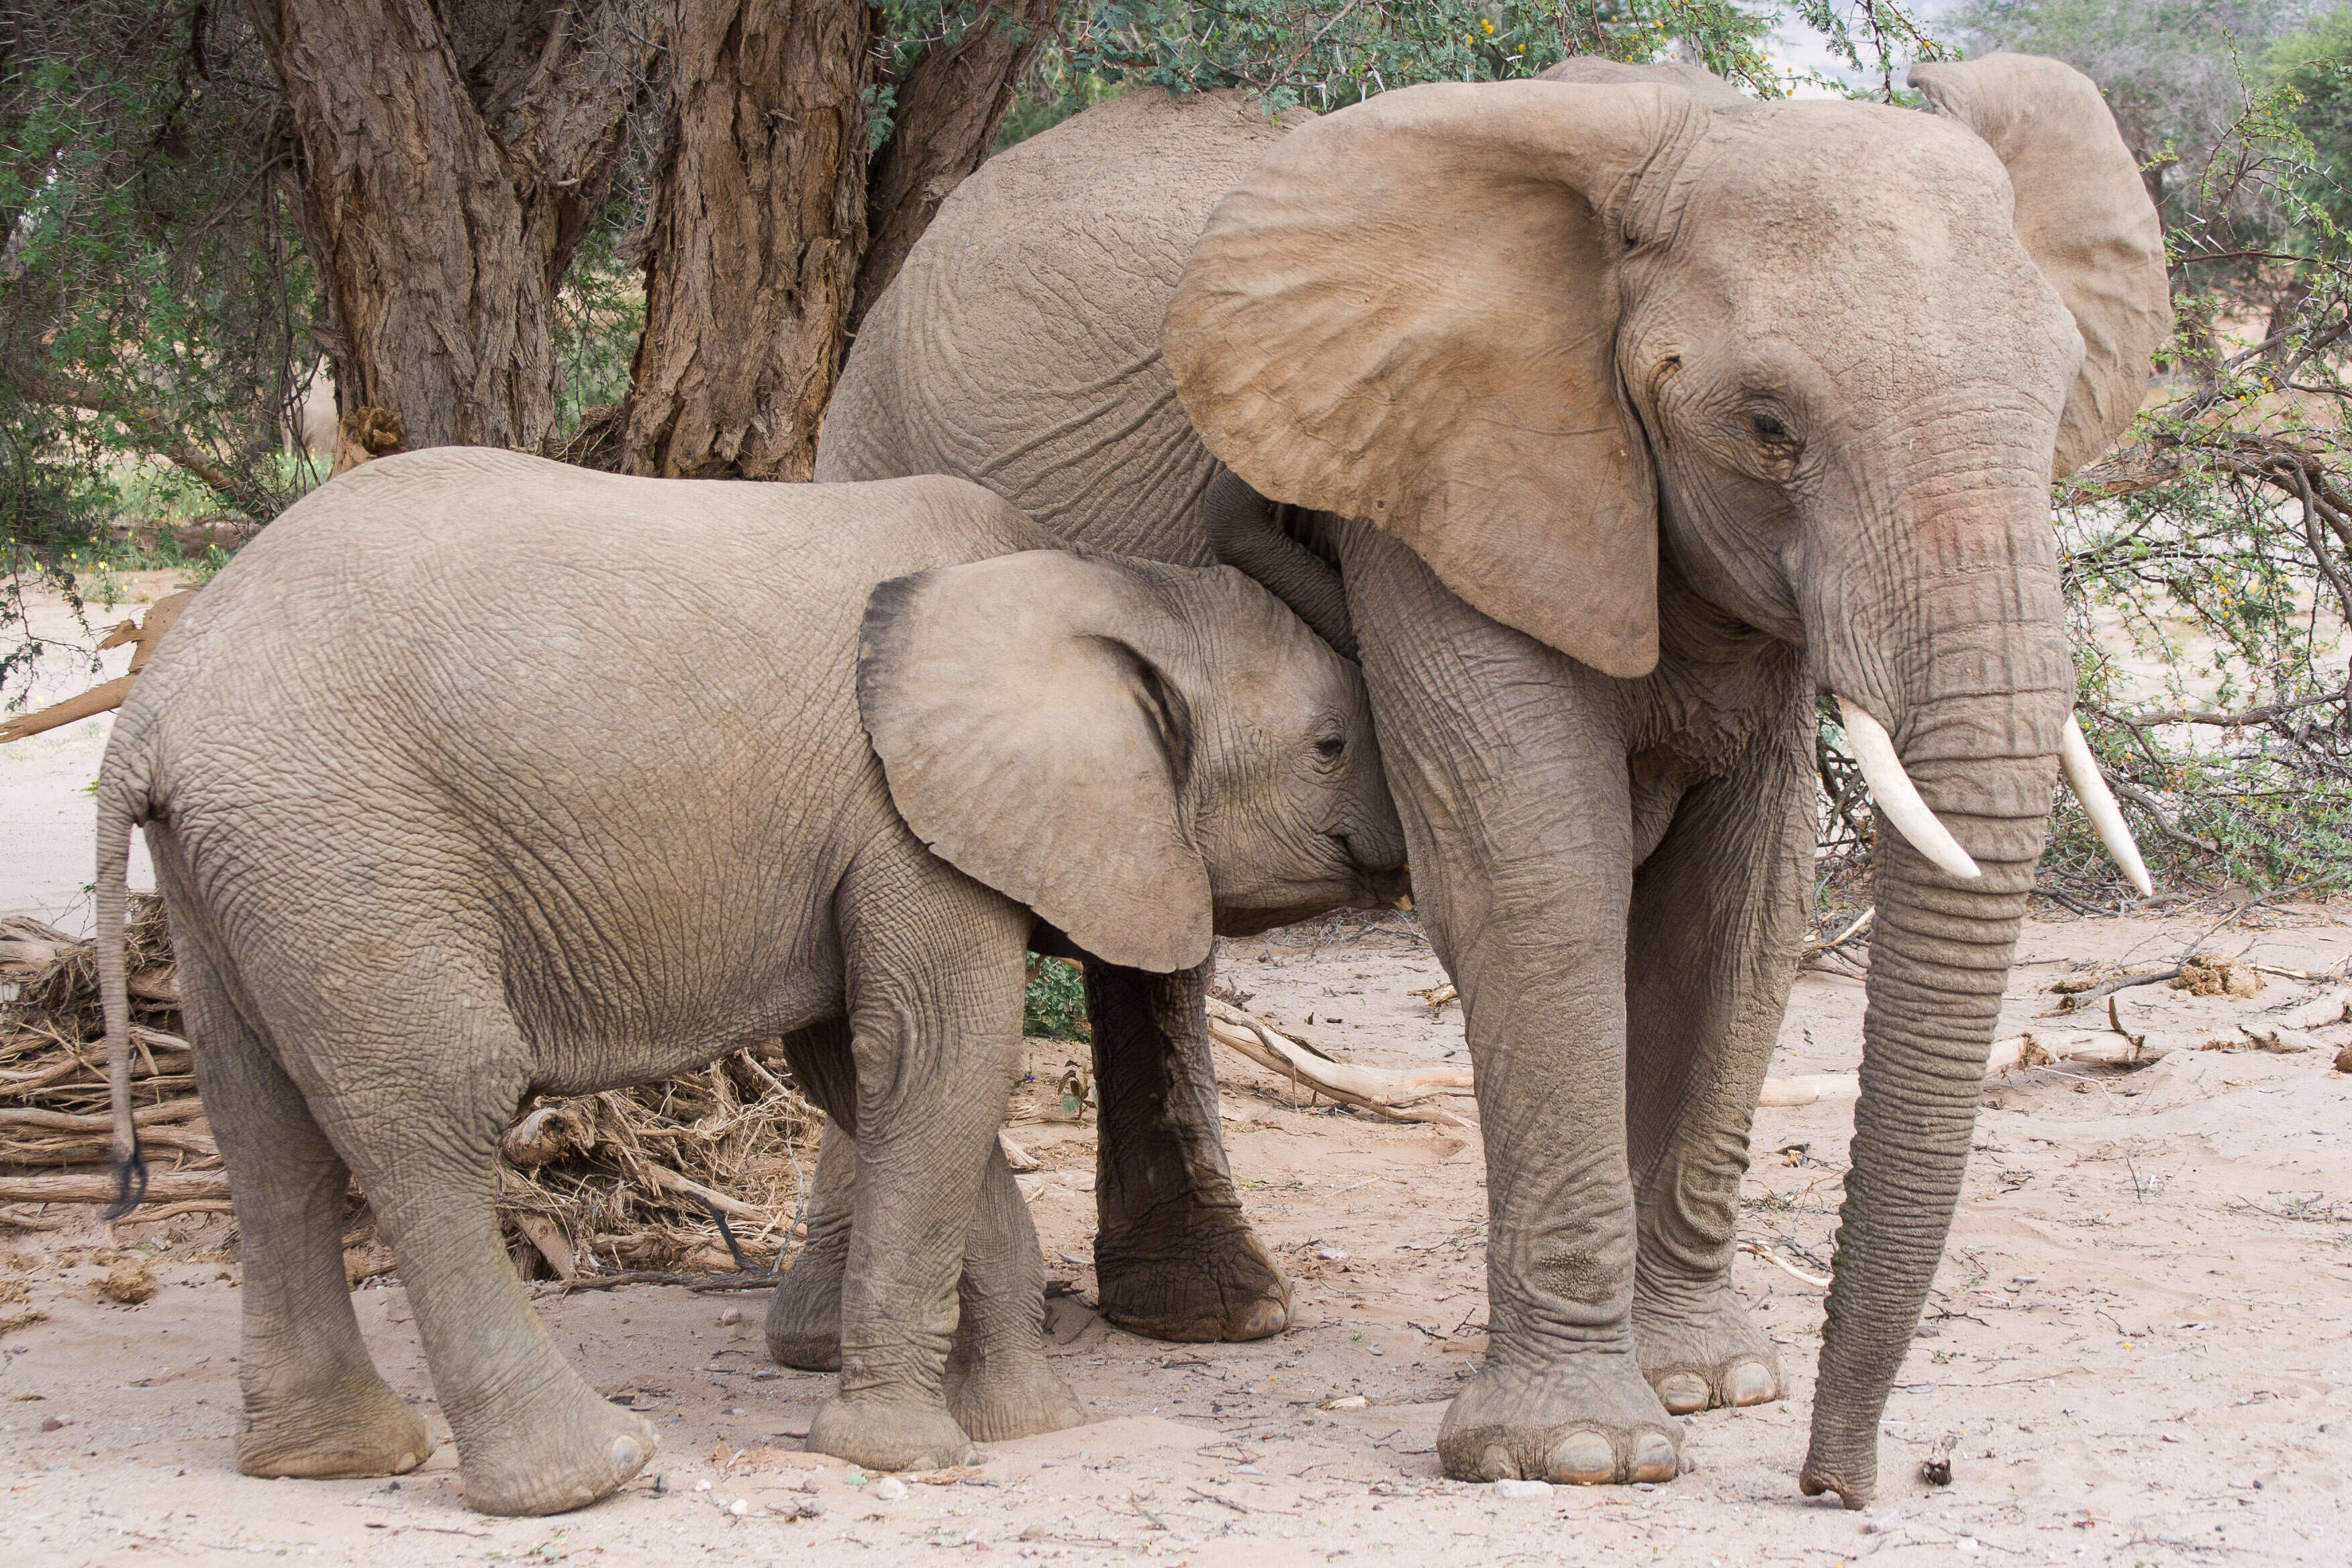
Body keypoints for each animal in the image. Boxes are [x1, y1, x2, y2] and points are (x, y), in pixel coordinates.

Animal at [91, 444, 1402, 1523]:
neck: (1100, 585)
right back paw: (589, 1477)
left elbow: (869, 1075)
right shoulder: (903, 820)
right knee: (432, 1112)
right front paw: (905, 1457)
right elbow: (939, 1054)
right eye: (1329, 745)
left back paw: (332, 1460)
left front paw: (1029, 1428)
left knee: (265, 1131)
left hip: (244, 867)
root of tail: (150, 714)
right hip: (349, 849)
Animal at [814, 55, 2163, 1504]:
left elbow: (1740, 911)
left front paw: (1711, 1386)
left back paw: (1213, 1313)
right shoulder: (1427, 480)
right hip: (871, 469)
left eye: (2062, 393)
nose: (1836, 1484)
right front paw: (1584, 1452)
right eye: (1766, 426)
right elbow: (1538, 876)